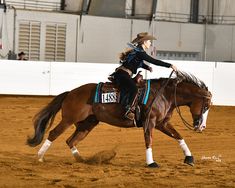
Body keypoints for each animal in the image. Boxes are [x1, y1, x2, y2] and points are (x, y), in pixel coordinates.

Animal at [27, 71, 213, 167]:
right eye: (205, 106)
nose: (202, 127)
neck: (164, 94)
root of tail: (70, 93)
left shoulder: (162, 123)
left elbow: (179, 137)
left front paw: (189, 158)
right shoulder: (150, 122)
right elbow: (149, 141)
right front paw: (151, 162)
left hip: (88, 123)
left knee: (70, 140)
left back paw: (83, 160)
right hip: (68, 119)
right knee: (53, 134)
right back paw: (40, 157)